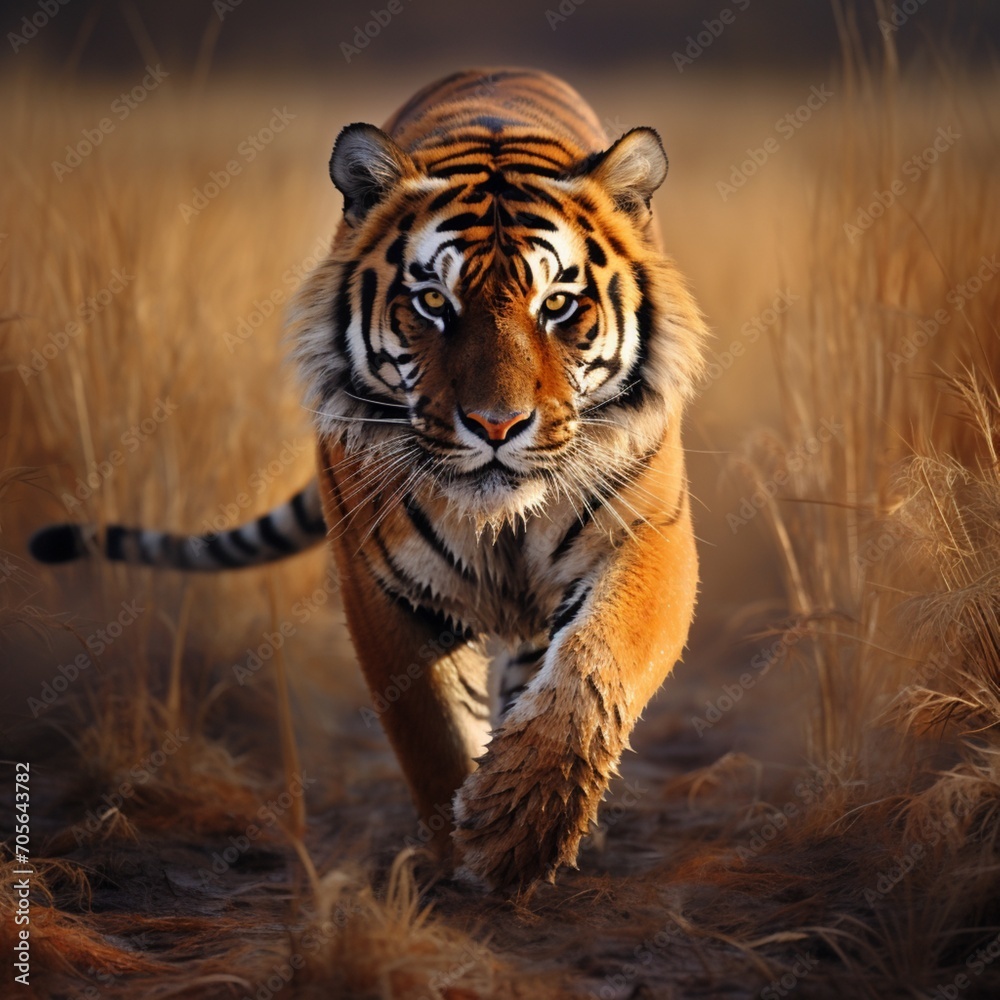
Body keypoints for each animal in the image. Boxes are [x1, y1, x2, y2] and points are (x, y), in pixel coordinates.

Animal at [30, 68, 708, 890]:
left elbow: (597, 665)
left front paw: (520, 825)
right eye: (433, 302)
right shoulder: (381, 583)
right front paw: (461, 854)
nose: (496, 426)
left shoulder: (647, 539)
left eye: (557, 304)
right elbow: (433, 734)